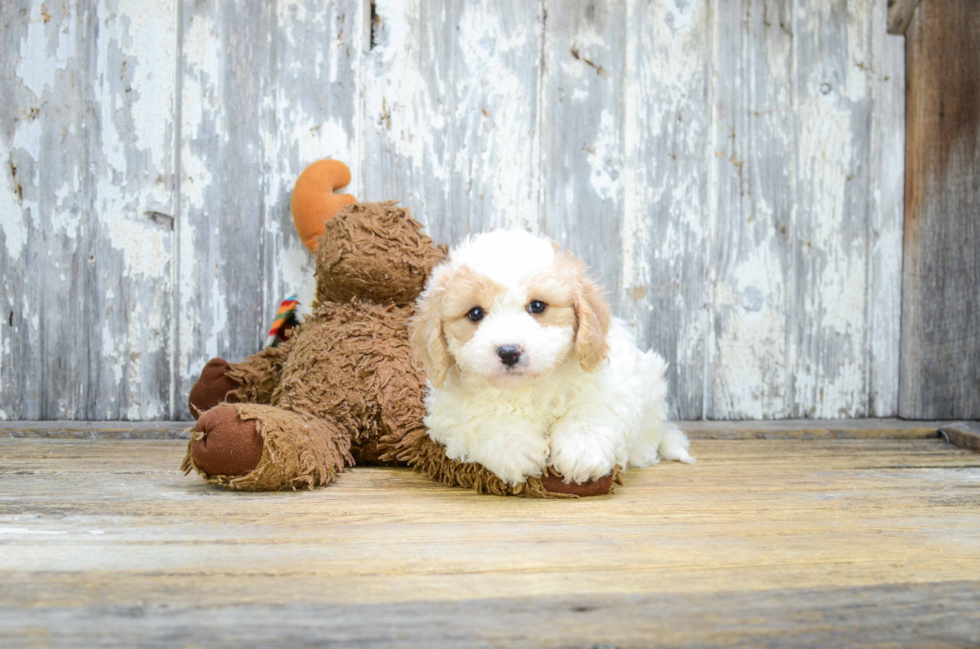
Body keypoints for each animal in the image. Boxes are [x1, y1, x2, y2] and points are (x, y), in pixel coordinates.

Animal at [410, 230, 692, 484]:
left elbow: (590, 412)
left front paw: (582, 452)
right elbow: (481, 418)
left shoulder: (607, 386)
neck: (528, 387)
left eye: (537, 306)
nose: (509, 352)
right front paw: (515, 447)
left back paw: (641, 453)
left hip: (651, 383)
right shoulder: (449, 412)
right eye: (475, 313)